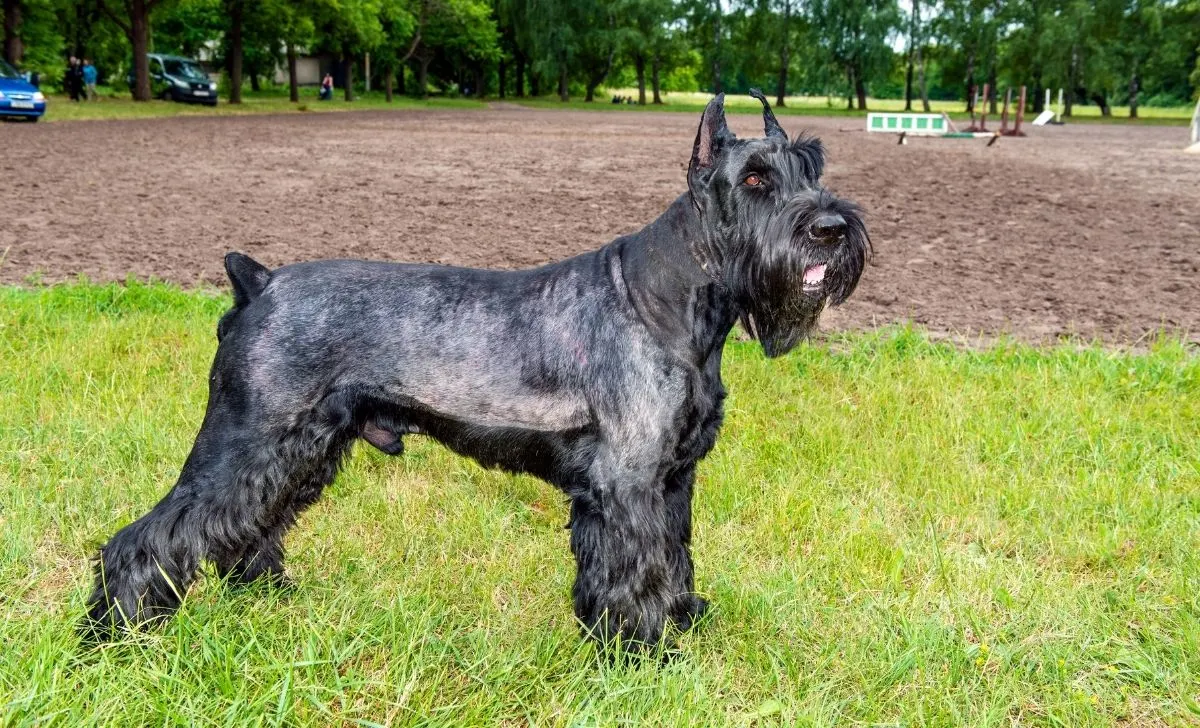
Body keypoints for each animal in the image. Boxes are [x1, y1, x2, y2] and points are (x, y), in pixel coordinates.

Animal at [84, 91, 873, 657]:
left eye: (814, 166)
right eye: (756, 178)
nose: (832, 229)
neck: (670, 299)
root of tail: (260, 282)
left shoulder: (672, 480)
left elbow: (673, 561)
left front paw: (680, 623)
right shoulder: (627, 486)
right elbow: (635, 572)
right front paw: (642, 654)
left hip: (296, 451)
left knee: (245, 529)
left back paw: (268, 599)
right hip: (245, 442)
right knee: (147, 539)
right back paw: (112, 636)